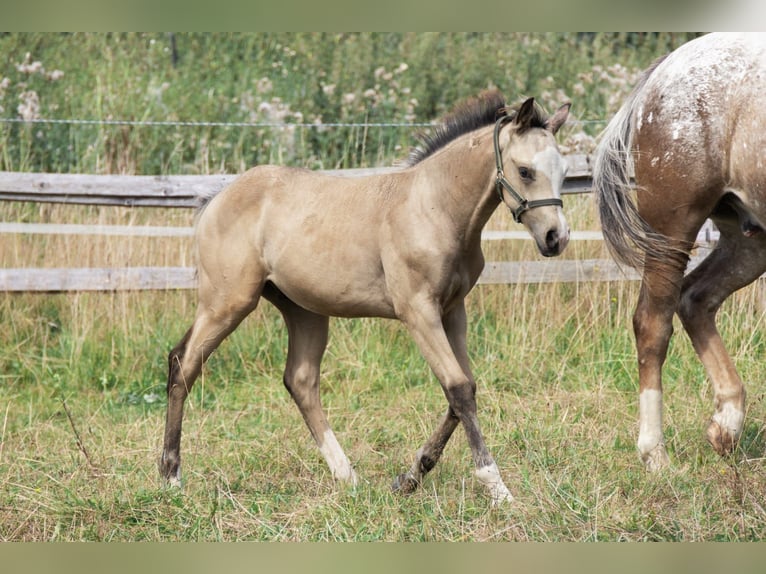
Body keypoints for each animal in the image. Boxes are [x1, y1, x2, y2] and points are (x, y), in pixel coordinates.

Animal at [160, 89, 568, 504]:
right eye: (525, 171)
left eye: (564, 172)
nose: (556, 238)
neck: (434, 208)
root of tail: (216, 198)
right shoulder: (418, 312)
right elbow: (458, 388)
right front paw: (497, 487)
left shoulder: (453, 311)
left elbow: (463, 389)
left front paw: (411, 476)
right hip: (227, 302)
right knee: (183, 363)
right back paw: (171, 477)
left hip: (303, 310)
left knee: (301, 380)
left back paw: (347, 476)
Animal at [592, 32, 766, 472]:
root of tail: (665, 68)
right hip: (672, 232)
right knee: (653, 323)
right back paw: (655, 454)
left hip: (749, 240)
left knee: (696, 298)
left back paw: (725, 425)